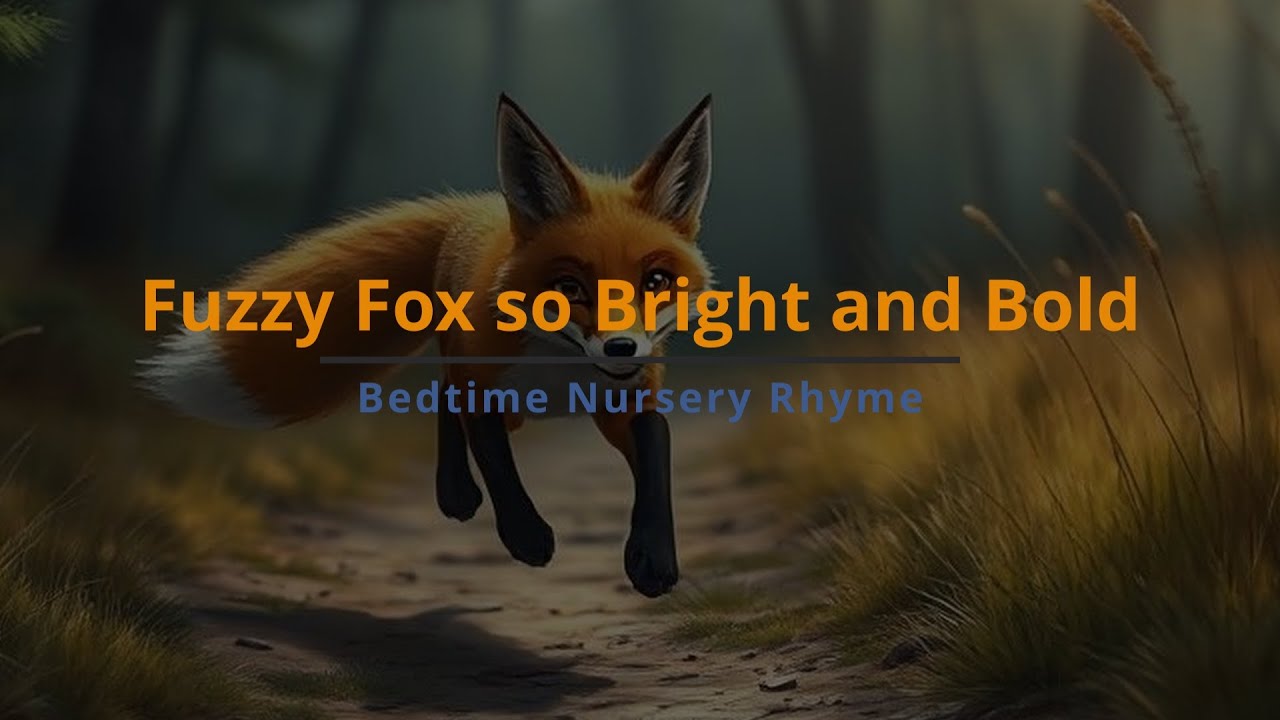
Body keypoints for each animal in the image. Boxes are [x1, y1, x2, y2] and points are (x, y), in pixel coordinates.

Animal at [140, 94, 715, 598]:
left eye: (656, 281)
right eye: (570, 287)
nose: (622, 348)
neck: (561, 368)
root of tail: (475, 208)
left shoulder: (626, 401)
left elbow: (656, 444)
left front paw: (653, 559)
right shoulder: (487, 388)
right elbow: (495, 460)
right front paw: (526, 536)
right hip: (486, 384)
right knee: (445, 396)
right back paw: (455, 493)